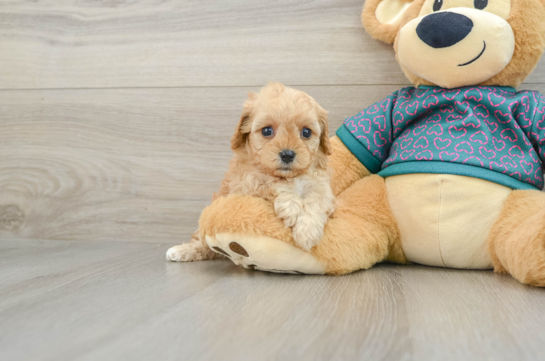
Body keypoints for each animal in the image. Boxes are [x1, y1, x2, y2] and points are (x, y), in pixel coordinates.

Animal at [166, 81, 336, 262]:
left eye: (306, 132)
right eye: (267, 131)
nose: (287, 154)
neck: (290, 176)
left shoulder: (321, 185)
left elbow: (318, 201)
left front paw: (307, 233)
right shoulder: (247, 183)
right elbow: (270, 182)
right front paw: (291, 207)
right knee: (202, 242)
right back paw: (182, 250)